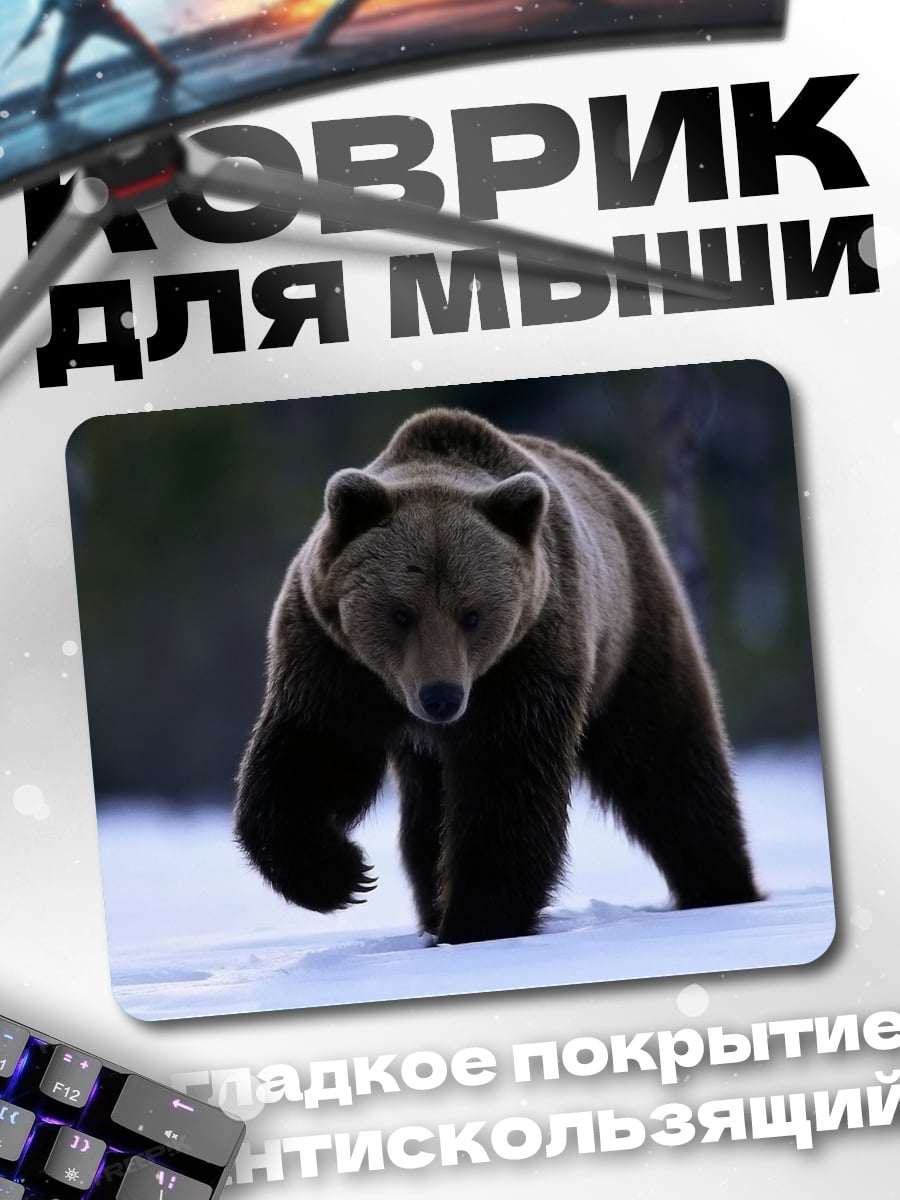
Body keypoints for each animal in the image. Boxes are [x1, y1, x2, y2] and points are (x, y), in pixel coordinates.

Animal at [234, 407, 762, 945]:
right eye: (402, 613)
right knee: (426, 820)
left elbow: (507, 784)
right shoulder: (333, 658)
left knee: (667, 763)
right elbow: (314, 754)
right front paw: (340, 875)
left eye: (472, 614)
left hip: (632, 635)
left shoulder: (528, 659)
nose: (441, 696)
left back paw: (722, 887)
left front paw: (477, 922)